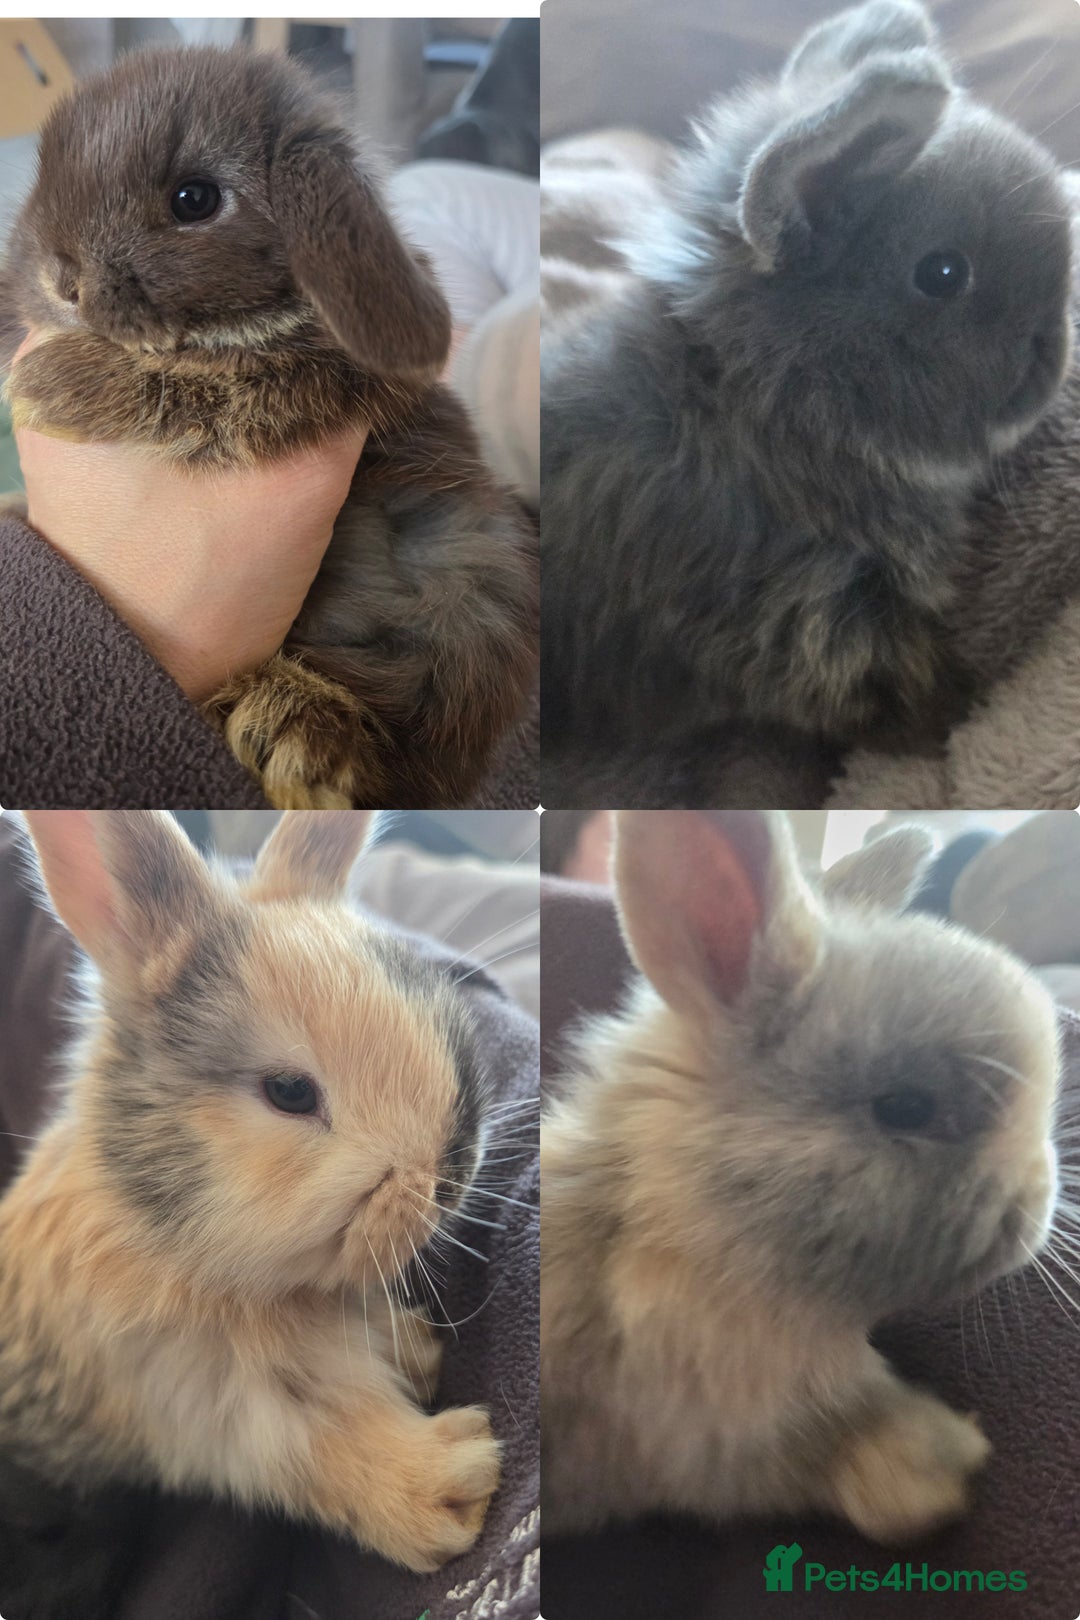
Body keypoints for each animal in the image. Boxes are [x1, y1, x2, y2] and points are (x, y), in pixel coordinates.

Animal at [0, 46, 538, 810]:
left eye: (195, 200)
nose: (60, 280)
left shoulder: (316, 384)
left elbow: (205, 390)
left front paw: (45, 386)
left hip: (461, 609)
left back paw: (295, 728)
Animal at [0, 809, 501, 1572]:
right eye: (289, 1091)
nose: (449, 1177)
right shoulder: (217, 1404)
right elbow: (327, 1448)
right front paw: (453, 1486)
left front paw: (417, 1353)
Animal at [541, 0, 1073, 800]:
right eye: (943, 273)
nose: (1055, 351)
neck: (755, 406)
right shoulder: (817, 627)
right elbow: (912, 701)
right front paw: (963, 716)